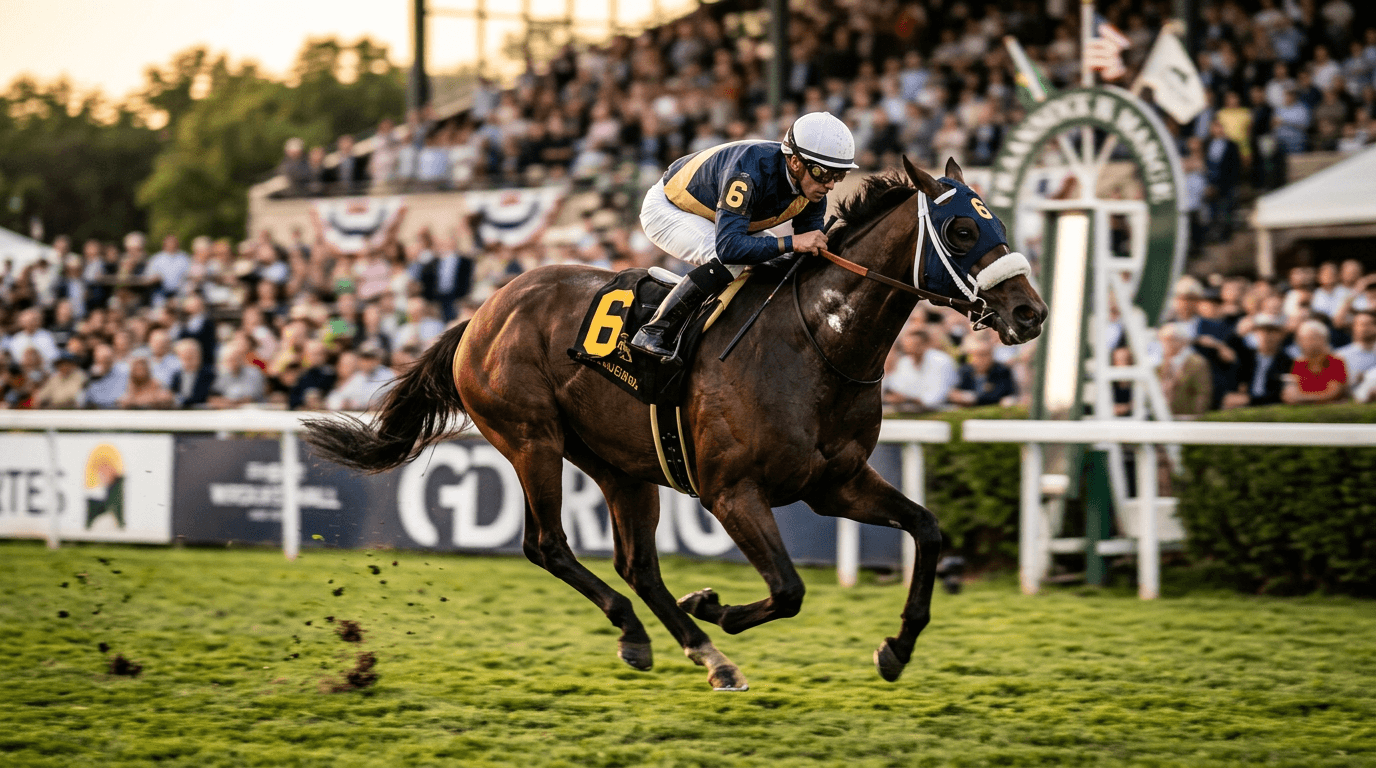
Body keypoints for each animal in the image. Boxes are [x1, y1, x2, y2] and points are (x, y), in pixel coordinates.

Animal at [304, 157, 1048, 691]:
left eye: (1000, 226)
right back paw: (654, 635)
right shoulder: (730, 491)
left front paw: (896, 647)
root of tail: (481, 313)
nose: (1030, 313)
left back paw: (698, 652)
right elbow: (789, 589)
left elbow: (927, 528)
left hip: (621, 465)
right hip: (530, 439)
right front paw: (714, 604)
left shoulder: (834, 482)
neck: (819, 343)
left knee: (636, 563)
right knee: (547, 545)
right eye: (961, 231)